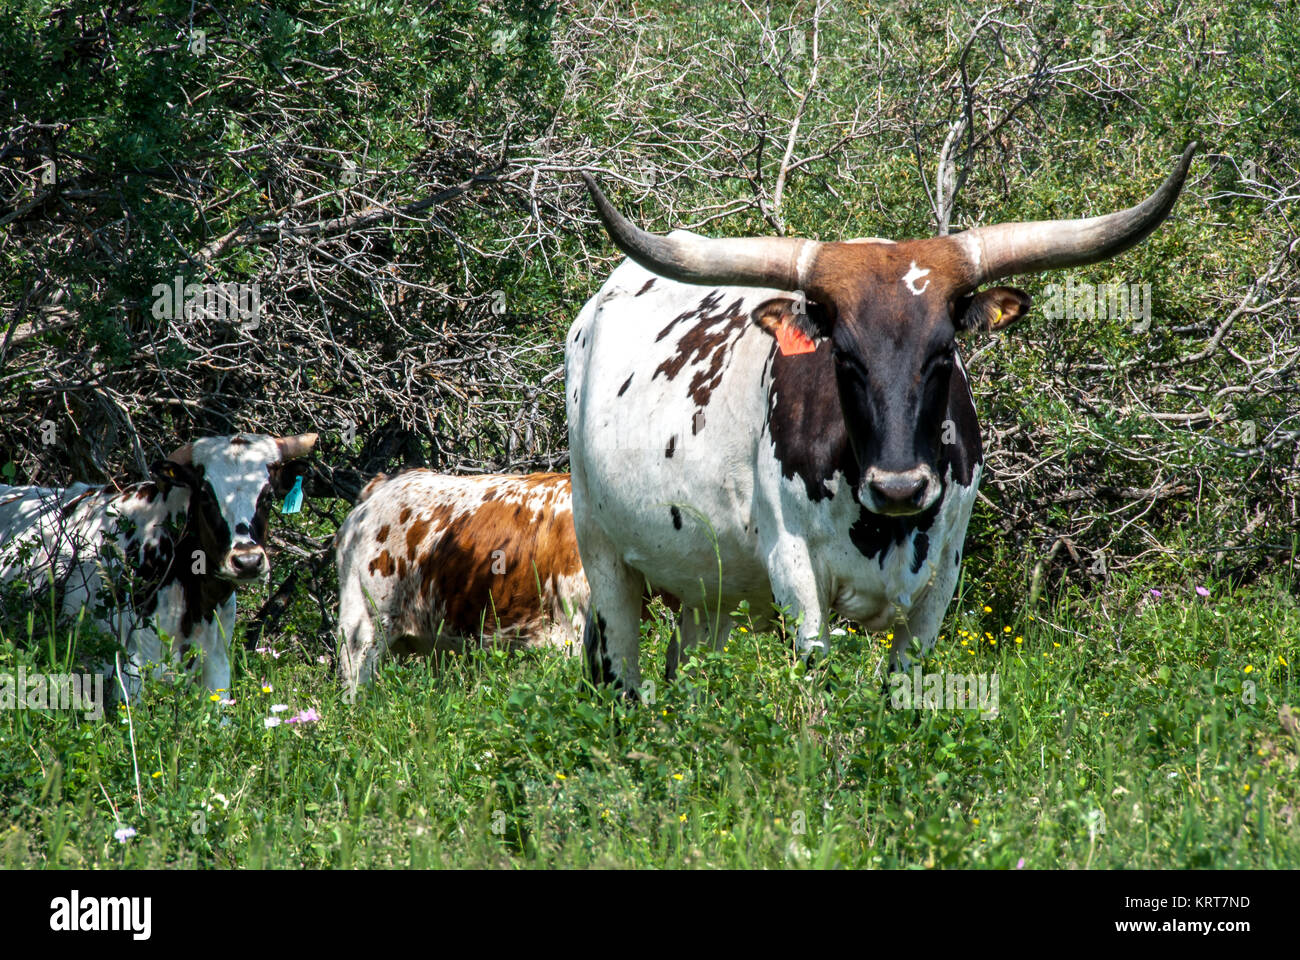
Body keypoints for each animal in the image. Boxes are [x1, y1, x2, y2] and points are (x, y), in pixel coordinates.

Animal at [566, 144, 1197, 694]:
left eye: (943, 351)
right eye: (843, 355)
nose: (899, 487)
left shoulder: (941, 579)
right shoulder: (795, 572)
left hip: (709, 589)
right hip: (600, 549)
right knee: (619, 668)